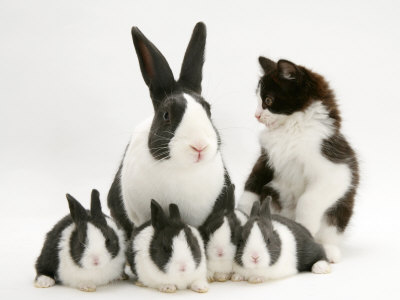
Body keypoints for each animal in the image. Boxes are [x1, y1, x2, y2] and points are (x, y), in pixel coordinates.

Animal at [238, 56, 360, 262]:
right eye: (258, 100)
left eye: (268, 100)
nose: (257, 115)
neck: (292, 129)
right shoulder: (265, 157)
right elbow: (252, 183)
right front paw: (243, 214)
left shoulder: (337, 167)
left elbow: (308, 200)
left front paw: (305, 226)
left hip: (341, 209)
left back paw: (329, 250)